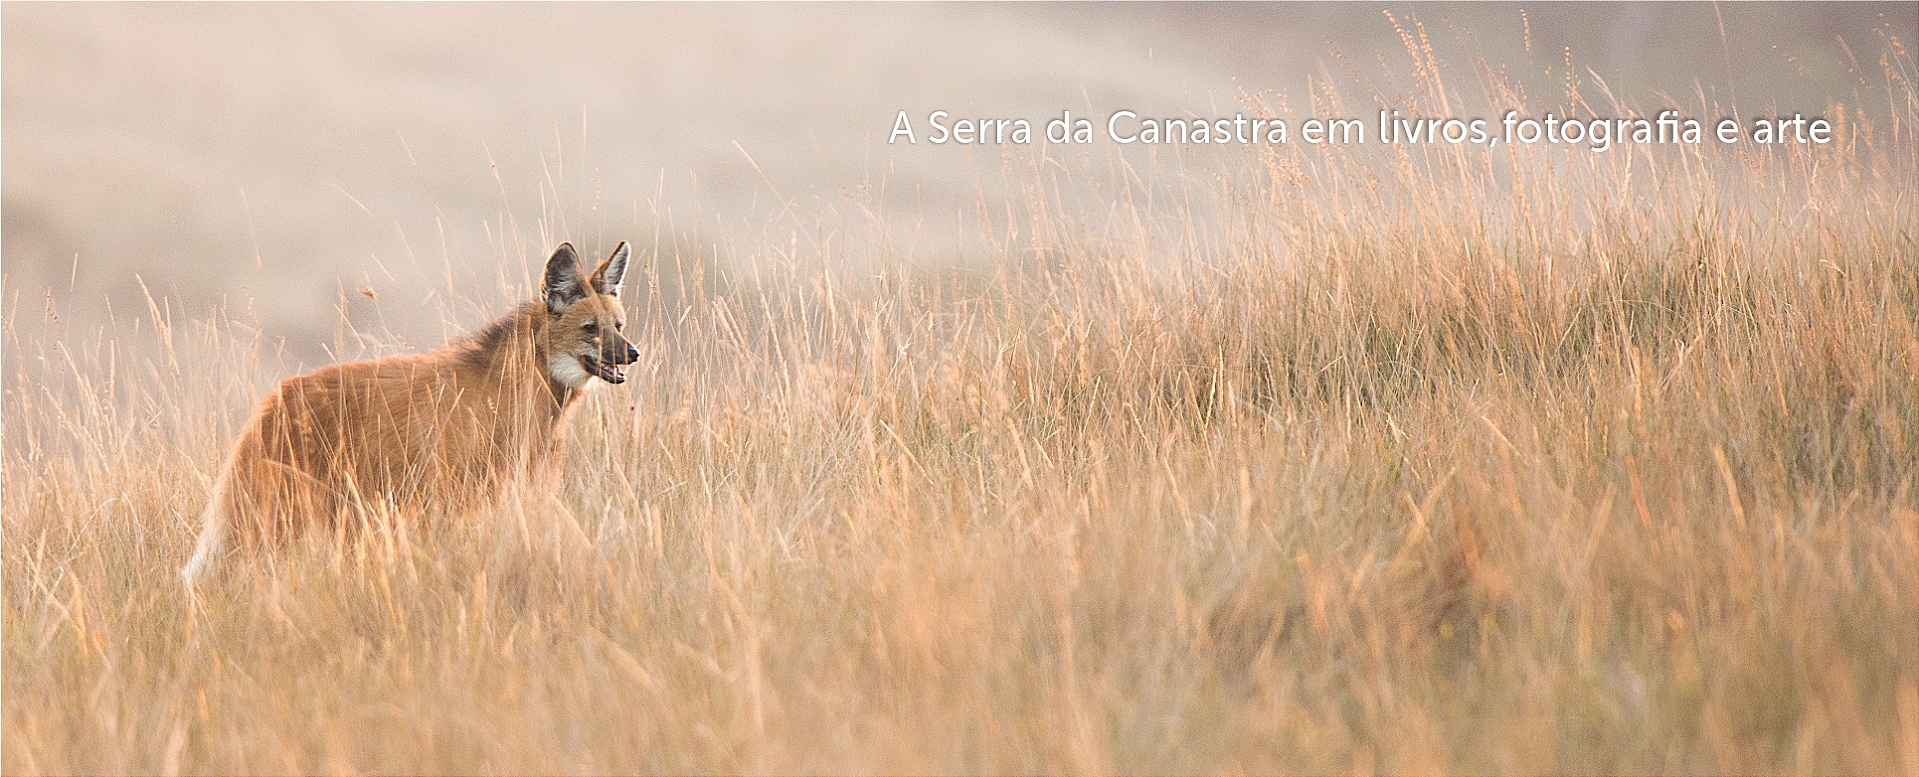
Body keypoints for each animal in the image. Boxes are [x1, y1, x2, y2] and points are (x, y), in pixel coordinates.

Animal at [181, 242, 638, 583]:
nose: (632, 353)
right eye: (591, 330)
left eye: (618, 325)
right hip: (283, 521)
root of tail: (270, 403)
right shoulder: (449, 499)